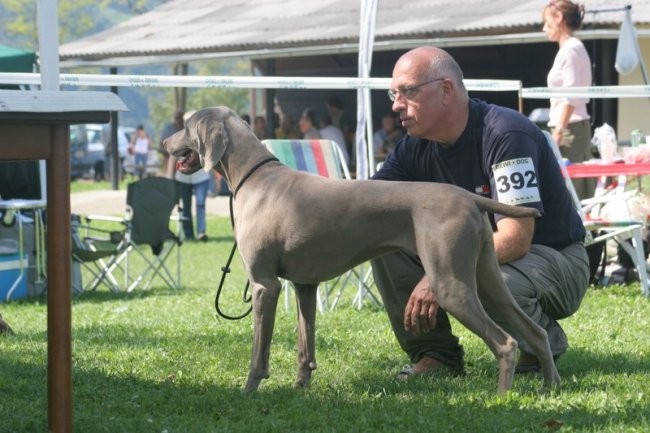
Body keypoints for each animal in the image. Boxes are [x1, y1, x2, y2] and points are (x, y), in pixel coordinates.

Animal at [165, 106, 560, 394]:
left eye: (186, 125)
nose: (166, 143)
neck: (256, 176)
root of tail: (467, 197)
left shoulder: (266, 286)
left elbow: (258, 354)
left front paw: (248, 390)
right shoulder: (304, 286)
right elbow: (305, 346)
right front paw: (300, 387)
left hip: (451, 285)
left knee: (506, 342)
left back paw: (502, 397)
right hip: (488, 280)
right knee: (535, 332)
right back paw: (550, 385)